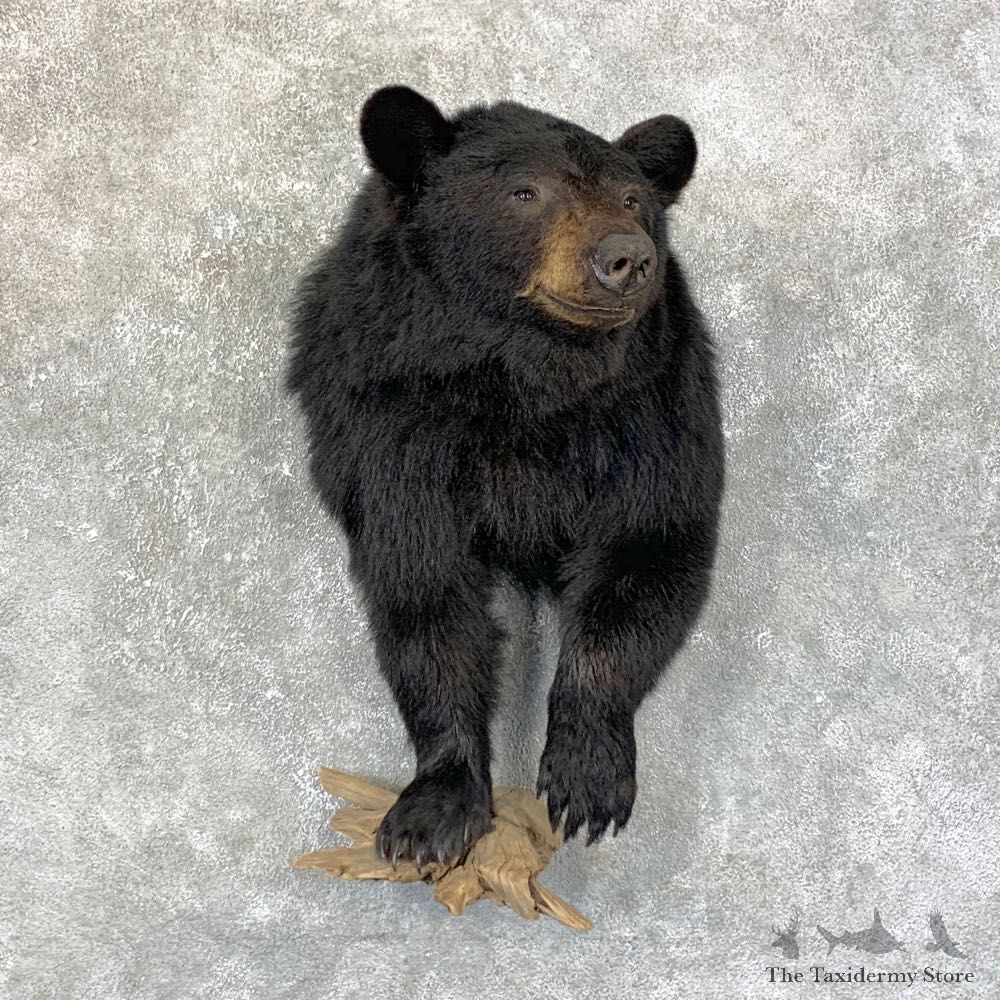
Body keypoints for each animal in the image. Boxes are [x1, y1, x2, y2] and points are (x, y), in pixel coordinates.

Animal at [285, 85, 725, 869]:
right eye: (526, 192)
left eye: (633, 199)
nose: (627, 257)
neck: (520, 381)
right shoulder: (390, 420)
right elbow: (423, 586)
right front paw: (431, 811)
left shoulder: (652, 409)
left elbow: (649, 549)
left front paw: (586, 773)